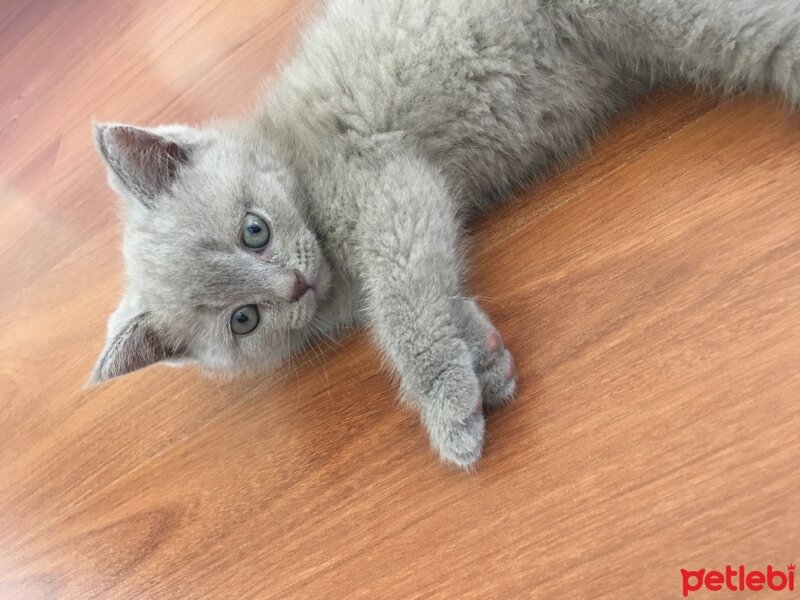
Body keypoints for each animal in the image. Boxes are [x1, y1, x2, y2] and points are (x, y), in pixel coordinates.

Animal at [92, 0, 800, 468]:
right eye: (244, 320)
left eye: (254, 230)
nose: (294, 285)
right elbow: (435, 291)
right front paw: (483, 360)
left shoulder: (388, 187)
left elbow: (402, 309)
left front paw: (446, 402)